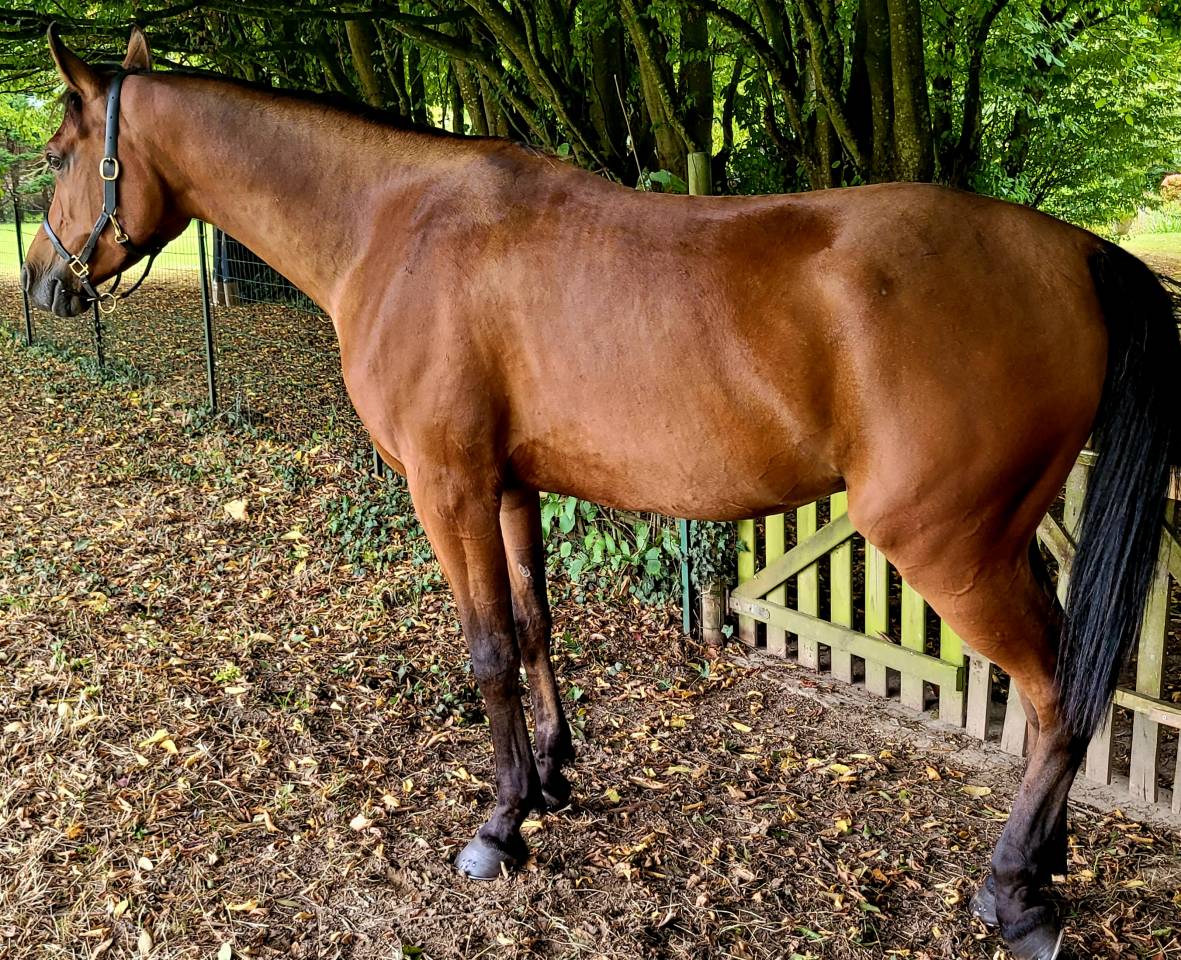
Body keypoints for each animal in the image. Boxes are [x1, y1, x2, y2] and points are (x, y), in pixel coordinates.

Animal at [22, 27, 1178, 960]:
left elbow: (487, 651)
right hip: (1008, 535)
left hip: (948, 546)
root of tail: (1070, 252)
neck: (391, 226)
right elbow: (535, 627)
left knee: (1054, 693)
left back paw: (1012, 892)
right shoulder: (509, 489)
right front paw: (550, 779)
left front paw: (498, 829)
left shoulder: (448, 489)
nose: (41, 280)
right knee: (1065, 685)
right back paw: (1046, 861)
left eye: (56, 156)